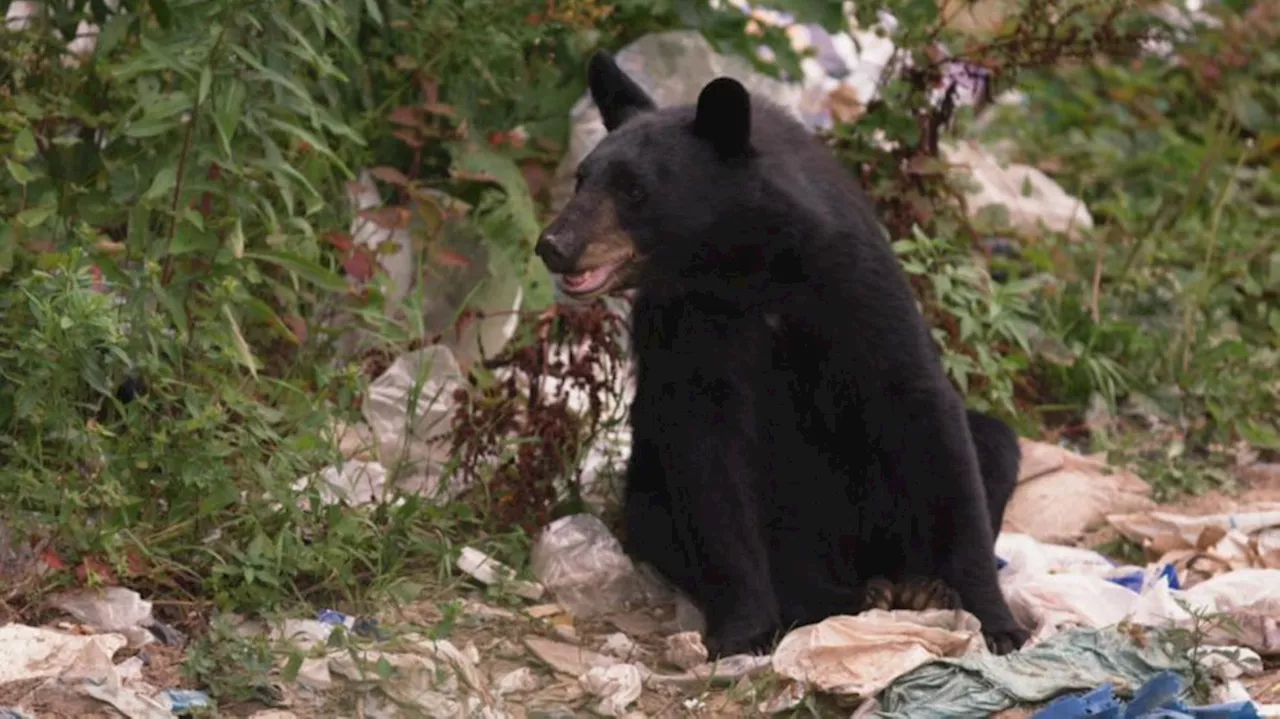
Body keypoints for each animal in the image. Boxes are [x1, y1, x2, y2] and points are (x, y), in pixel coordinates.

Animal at [532, 50, 1029, 655]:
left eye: (633, 190)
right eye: (582, 179)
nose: (554, 245)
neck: (746, 267)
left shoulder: (855, 284)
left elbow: (924, 413)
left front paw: (996, 621)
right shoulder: (688, 323)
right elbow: (710, 457)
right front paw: (745, 630)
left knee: (993, 444)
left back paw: (916, 585)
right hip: (653, 496)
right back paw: (840, 597)